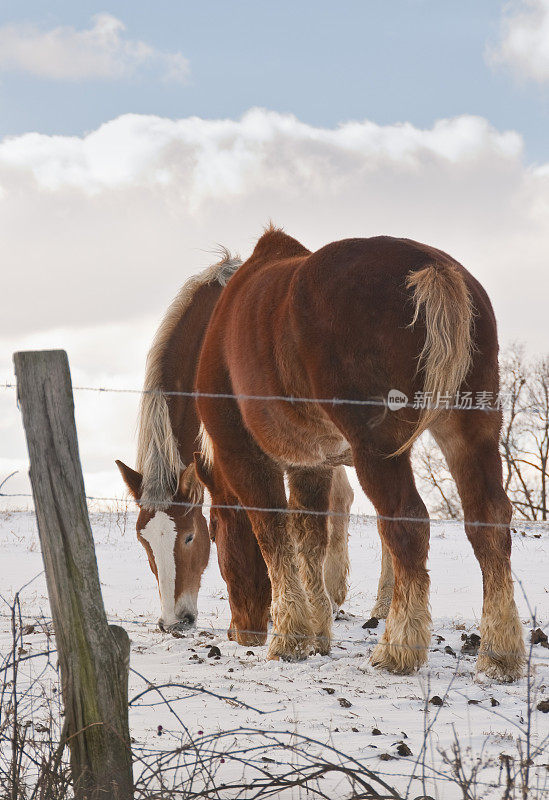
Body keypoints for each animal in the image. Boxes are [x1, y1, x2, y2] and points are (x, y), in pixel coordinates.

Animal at [192, 225, 524, 680]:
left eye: (212, 532)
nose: (239, 632)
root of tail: (433, 268)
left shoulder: (243, 455)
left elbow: (273, 534)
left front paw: (290, 636)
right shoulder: (310, 463)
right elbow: (309, 540)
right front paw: (316, 631)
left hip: (377, 448)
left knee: (408, 523)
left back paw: (399, 647)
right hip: (472, 428)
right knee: (488, 520)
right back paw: (499, 654)